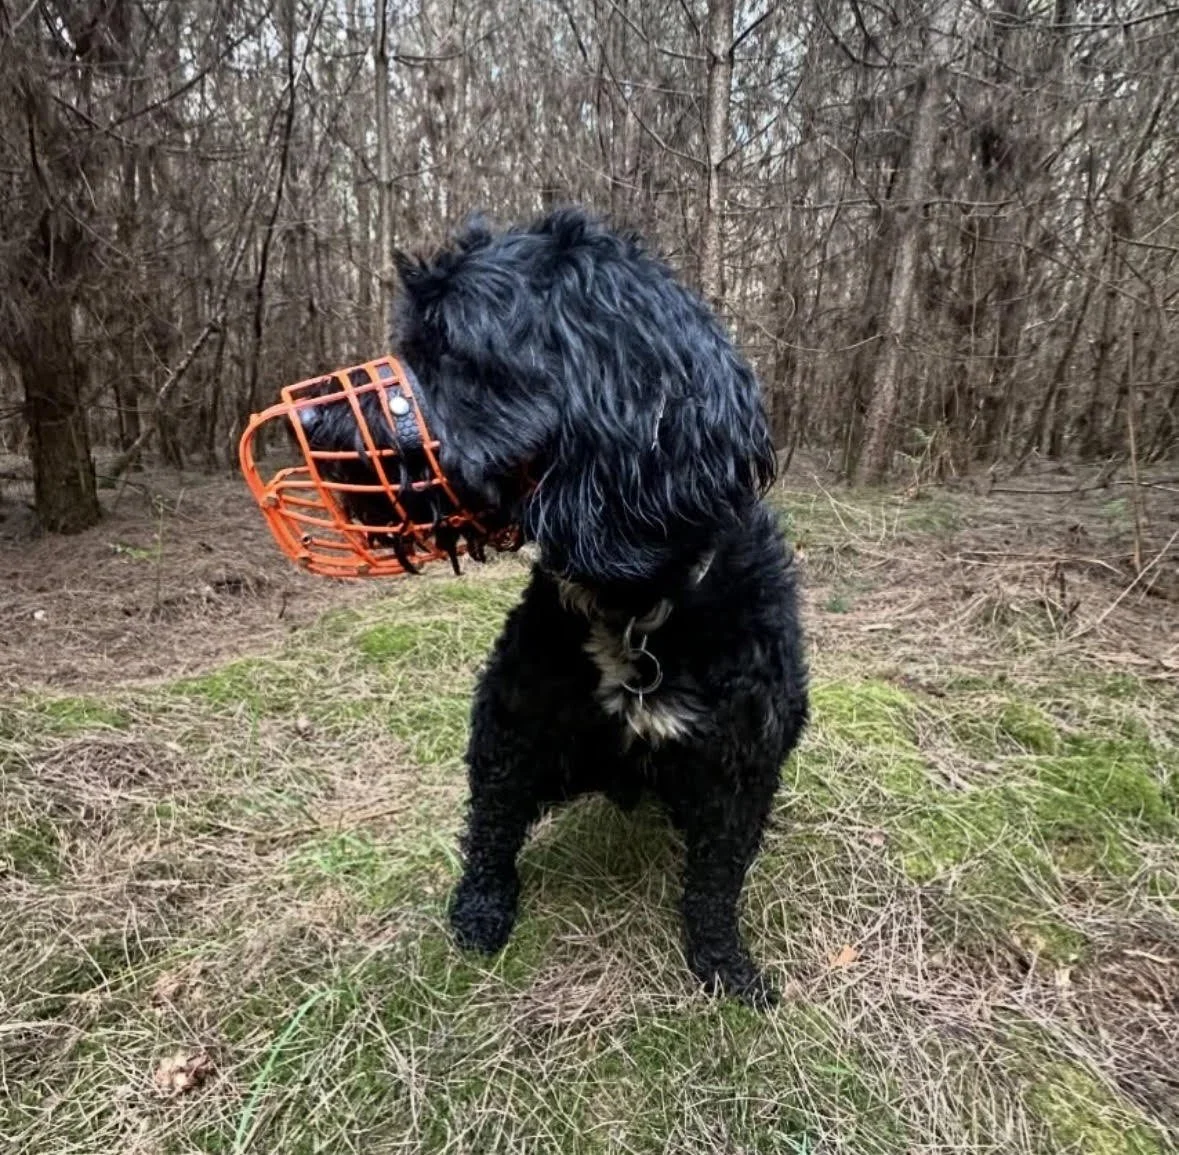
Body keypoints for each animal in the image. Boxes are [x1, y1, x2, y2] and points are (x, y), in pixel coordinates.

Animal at [300, 208, 808, 1005]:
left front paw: (724, 965)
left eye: (452, 350)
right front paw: (480, 911)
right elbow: (490, 827)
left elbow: (716, 878)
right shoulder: (508, 727)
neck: (635, 604)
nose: (318, 419)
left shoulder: (741, 765)